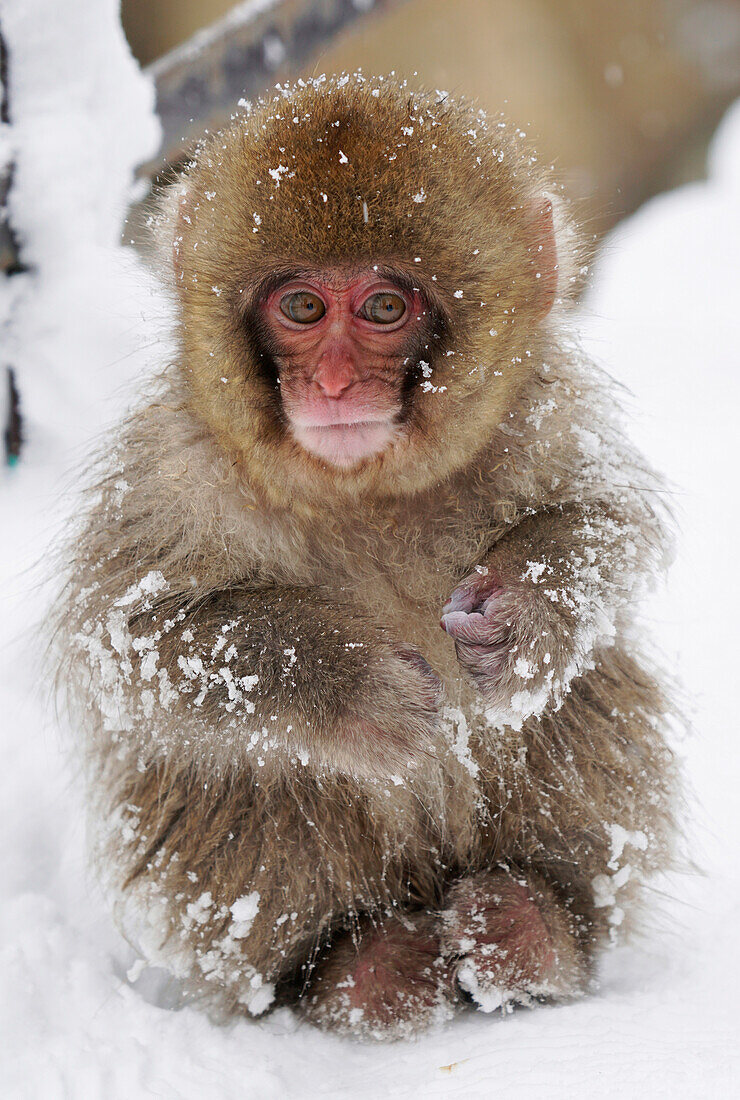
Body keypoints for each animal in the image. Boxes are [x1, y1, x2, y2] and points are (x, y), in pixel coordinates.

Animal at [60, 75, 677, 1038]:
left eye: (386, 308)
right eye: (302, 308)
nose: (335, 384)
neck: (362, 497)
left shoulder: (542, 417)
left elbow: (602, 526)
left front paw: (522, 619)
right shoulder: (172, 471)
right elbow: (137, 642)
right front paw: (356, 689)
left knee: (584, 697)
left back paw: (536, 922)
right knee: (244, 778)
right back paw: (352, 965)